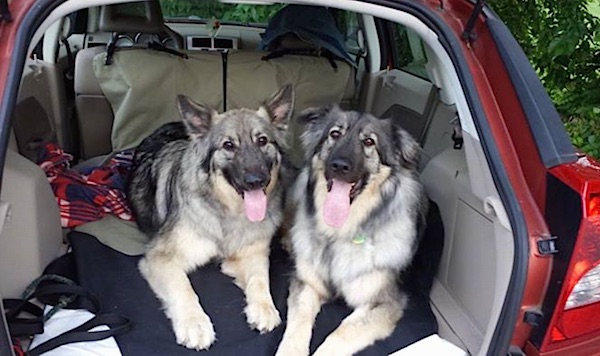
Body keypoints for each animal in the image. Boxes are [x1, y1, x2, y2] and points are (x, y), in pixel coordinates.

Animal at [127, 84, 294, 350]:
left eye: (262, 141)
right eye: (228, 145)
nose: (256, 181)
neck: (228, 211)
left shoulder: (253, 253)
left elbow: (260, 277)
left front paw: (264, 307)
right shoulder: (161, 257)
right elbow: (183, 287)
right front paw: (194, 323)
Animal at [276, 104, 426, 354]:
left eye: (369, 142)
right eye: (335, 134)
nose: (339, 166)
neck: (341, 231)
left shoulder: (383, 303)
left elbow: (340, 334)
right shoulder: (308, 284)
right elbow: (296, 327)